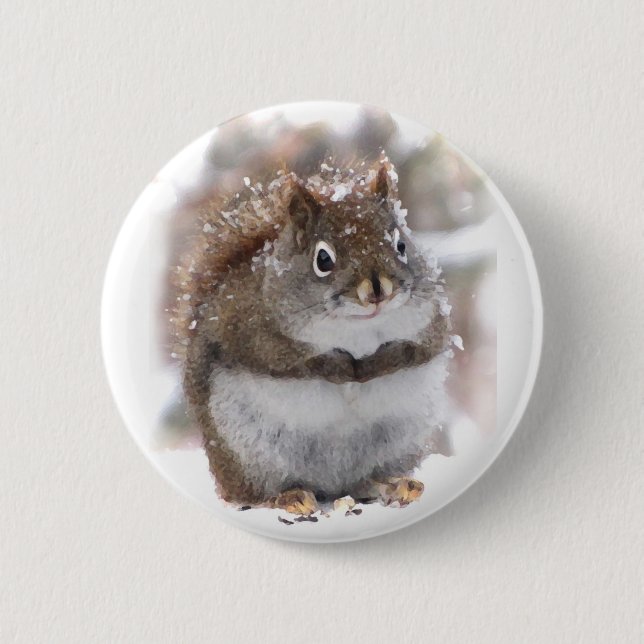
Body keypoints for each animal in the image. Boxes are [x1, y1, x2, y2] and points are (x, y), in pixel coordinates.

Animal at [170, 156, 454, 516]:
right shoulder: (251, 329)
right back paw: (286, 497)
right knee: (251, 494)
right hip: (247, 449)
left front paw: (377, 363)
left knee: (366, 481)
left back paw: (394, 484)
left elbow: (419, 350)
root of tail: (331, 486)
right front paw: (339, 368)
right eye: (323, 259)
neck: (357, 327)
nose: (378, 290)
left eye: (401, 246)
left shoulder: (432, 322)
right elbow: (289, 361)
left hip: (399, 441)